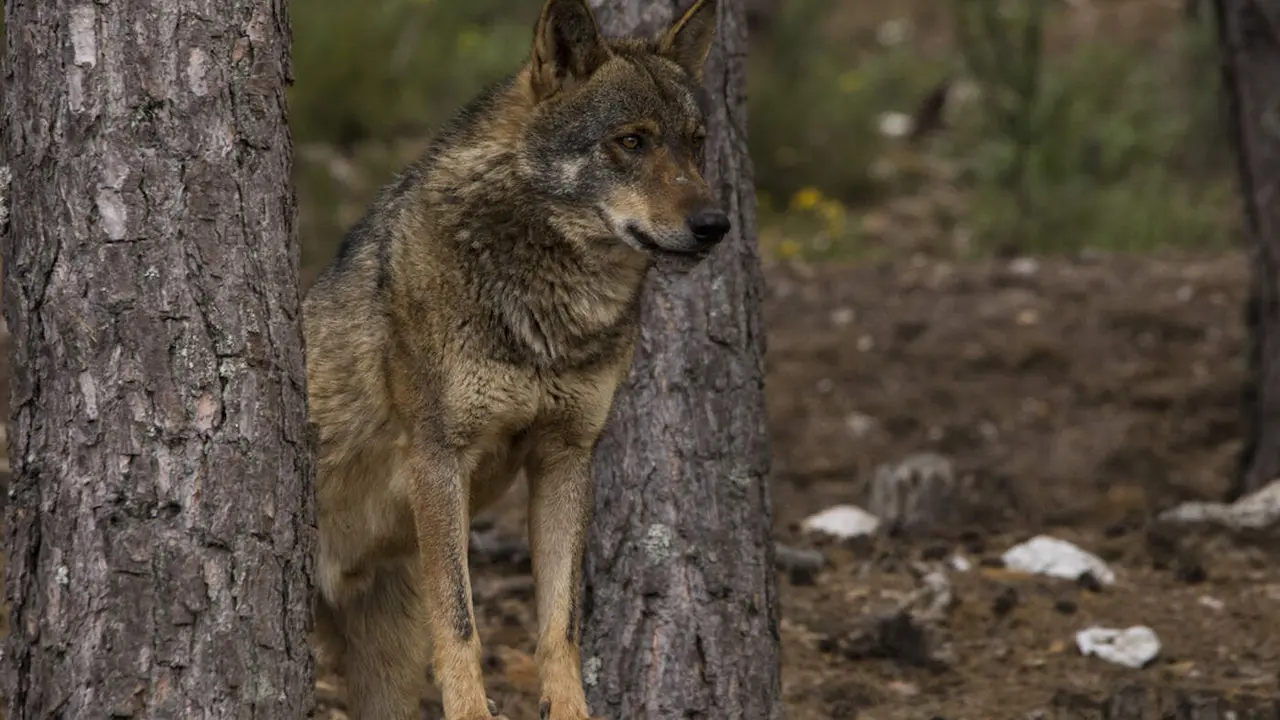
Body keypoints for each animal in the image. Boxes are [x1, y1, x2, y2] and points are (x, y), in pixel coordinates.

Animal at [301, 0, 728, 718]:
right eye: (632, 141)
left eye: (695, 143)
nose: (715, 226)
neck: (552, 314)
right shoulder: (439, 458)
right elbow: (462, 624)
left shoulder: (566, 456)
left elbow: (561, 626)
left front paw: (572, 709)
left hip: (387, 672)